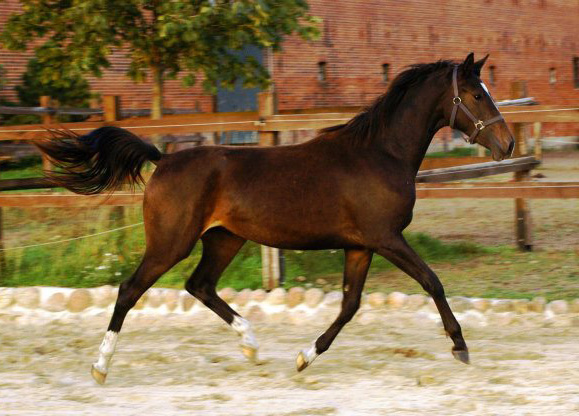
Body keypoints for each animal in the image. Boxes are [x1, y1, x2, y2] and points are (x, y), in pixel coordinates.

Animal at [38, 53, 516, 386]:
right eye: (477, 94)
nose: (507, 144)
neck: (380, 153)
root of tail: (163, 159)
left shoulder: (360, 245)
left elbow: (349, 305)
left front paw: (304, 357)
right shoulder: (386, 238)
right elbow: (432, 282)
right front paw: (460, 347)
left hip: (224, 239)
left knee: (200, 285)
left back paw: (251, 345)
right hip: (171, 242)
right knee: (130, 290)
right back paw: (100, 367)